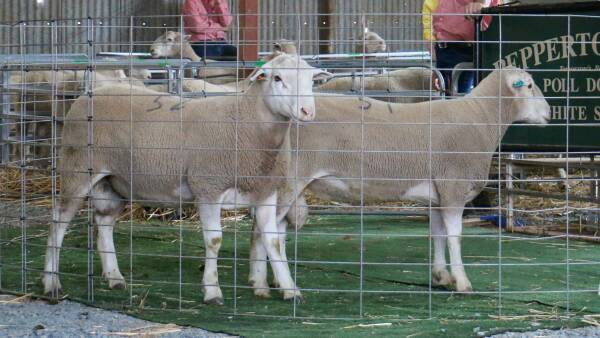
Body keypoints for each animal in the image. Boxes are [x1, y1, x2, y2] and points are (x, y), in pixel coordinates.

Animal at [42, 53, 332, 304]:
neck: (246, 124)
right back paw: (51, 283)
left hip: (112, 181)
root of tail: (86, 96)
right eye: (277, 78)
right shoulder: (208, 188)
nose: (307, 112)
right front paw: (212, 291)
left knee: (103, 222)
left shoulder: (265, 192)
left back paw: (114, 278)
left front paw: (290, 289)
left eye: (311, 80)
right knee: (58, 220)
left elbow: (273, 241)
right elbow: (214, 240)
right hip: (77, 169)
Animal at [247, 66, 548, 296]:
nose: (549, 113)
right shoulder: (453, 187)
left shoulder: (437, 195)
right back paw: (286, 289)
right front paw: (462, 282)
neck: (482, 119)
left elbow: (437, 234)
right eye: (528, 85)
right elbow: (455, 237)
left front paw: (441, 276)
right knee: (269, 233)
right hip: (290, 180)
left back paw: (262, 284)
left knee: (264, 230)